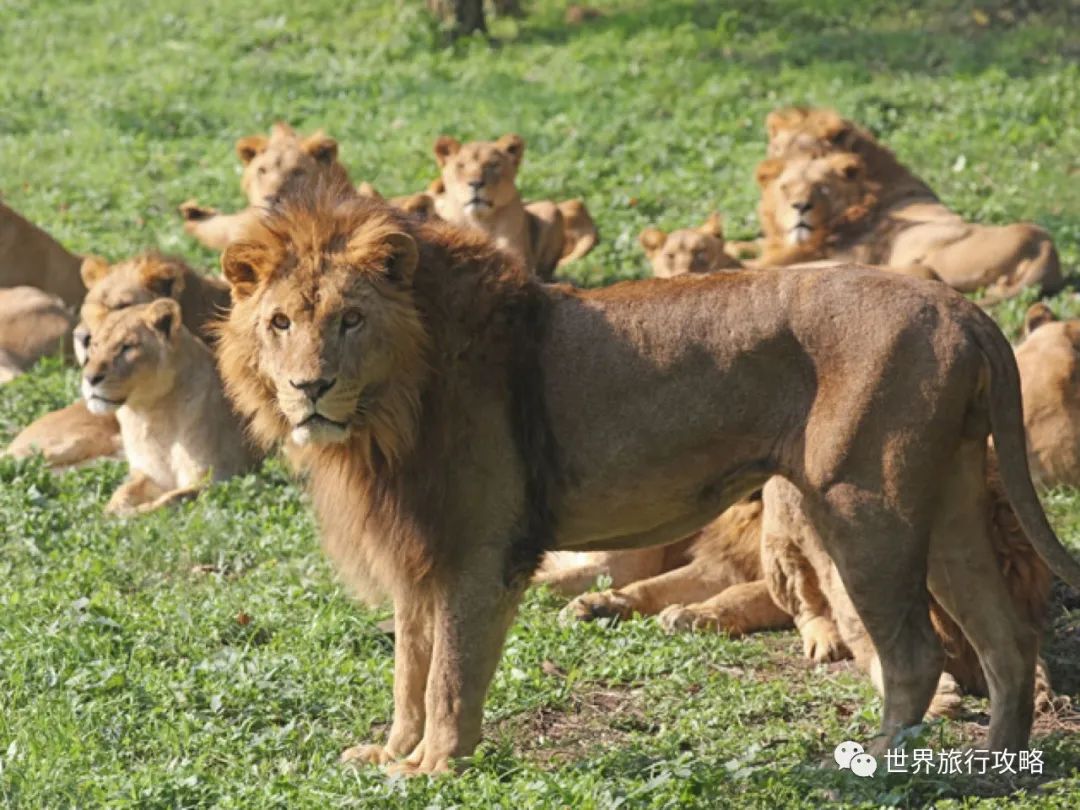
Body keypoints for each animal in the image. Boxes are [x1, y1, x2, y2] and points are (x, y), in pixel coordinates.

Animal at [79, 302, 259, 516]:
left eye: (127, 347)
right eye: (94, 346)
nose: (89, 378)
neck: (151, 414)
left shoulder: (217, 478)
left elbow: (170, 499)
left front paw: (134, 513)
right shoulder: (149, 474)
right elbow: (122, 492)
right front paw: (112, 510)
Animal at [212, 182, 1080, 773]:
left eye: (350, 320)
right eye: (280, 322)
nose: (310, 387)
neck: (388, 413)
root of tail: (958, 308)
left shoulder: (480, 551)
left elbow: (450, 676)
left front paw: (434, 769)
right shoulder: (421, 549)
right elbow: (410, 667)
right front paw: (394, 756)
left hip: (865, 510)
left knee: (916, 654)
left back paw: (875, 768)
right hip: (950, 499)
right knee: (1005, 640)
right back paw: (996, 770)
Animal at [429, 135, 600, 280]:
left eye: (493, 165)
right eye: (461, 166)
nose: (476, 183)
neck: (479, 221)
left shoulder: (517, 261)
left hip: (550, 208)